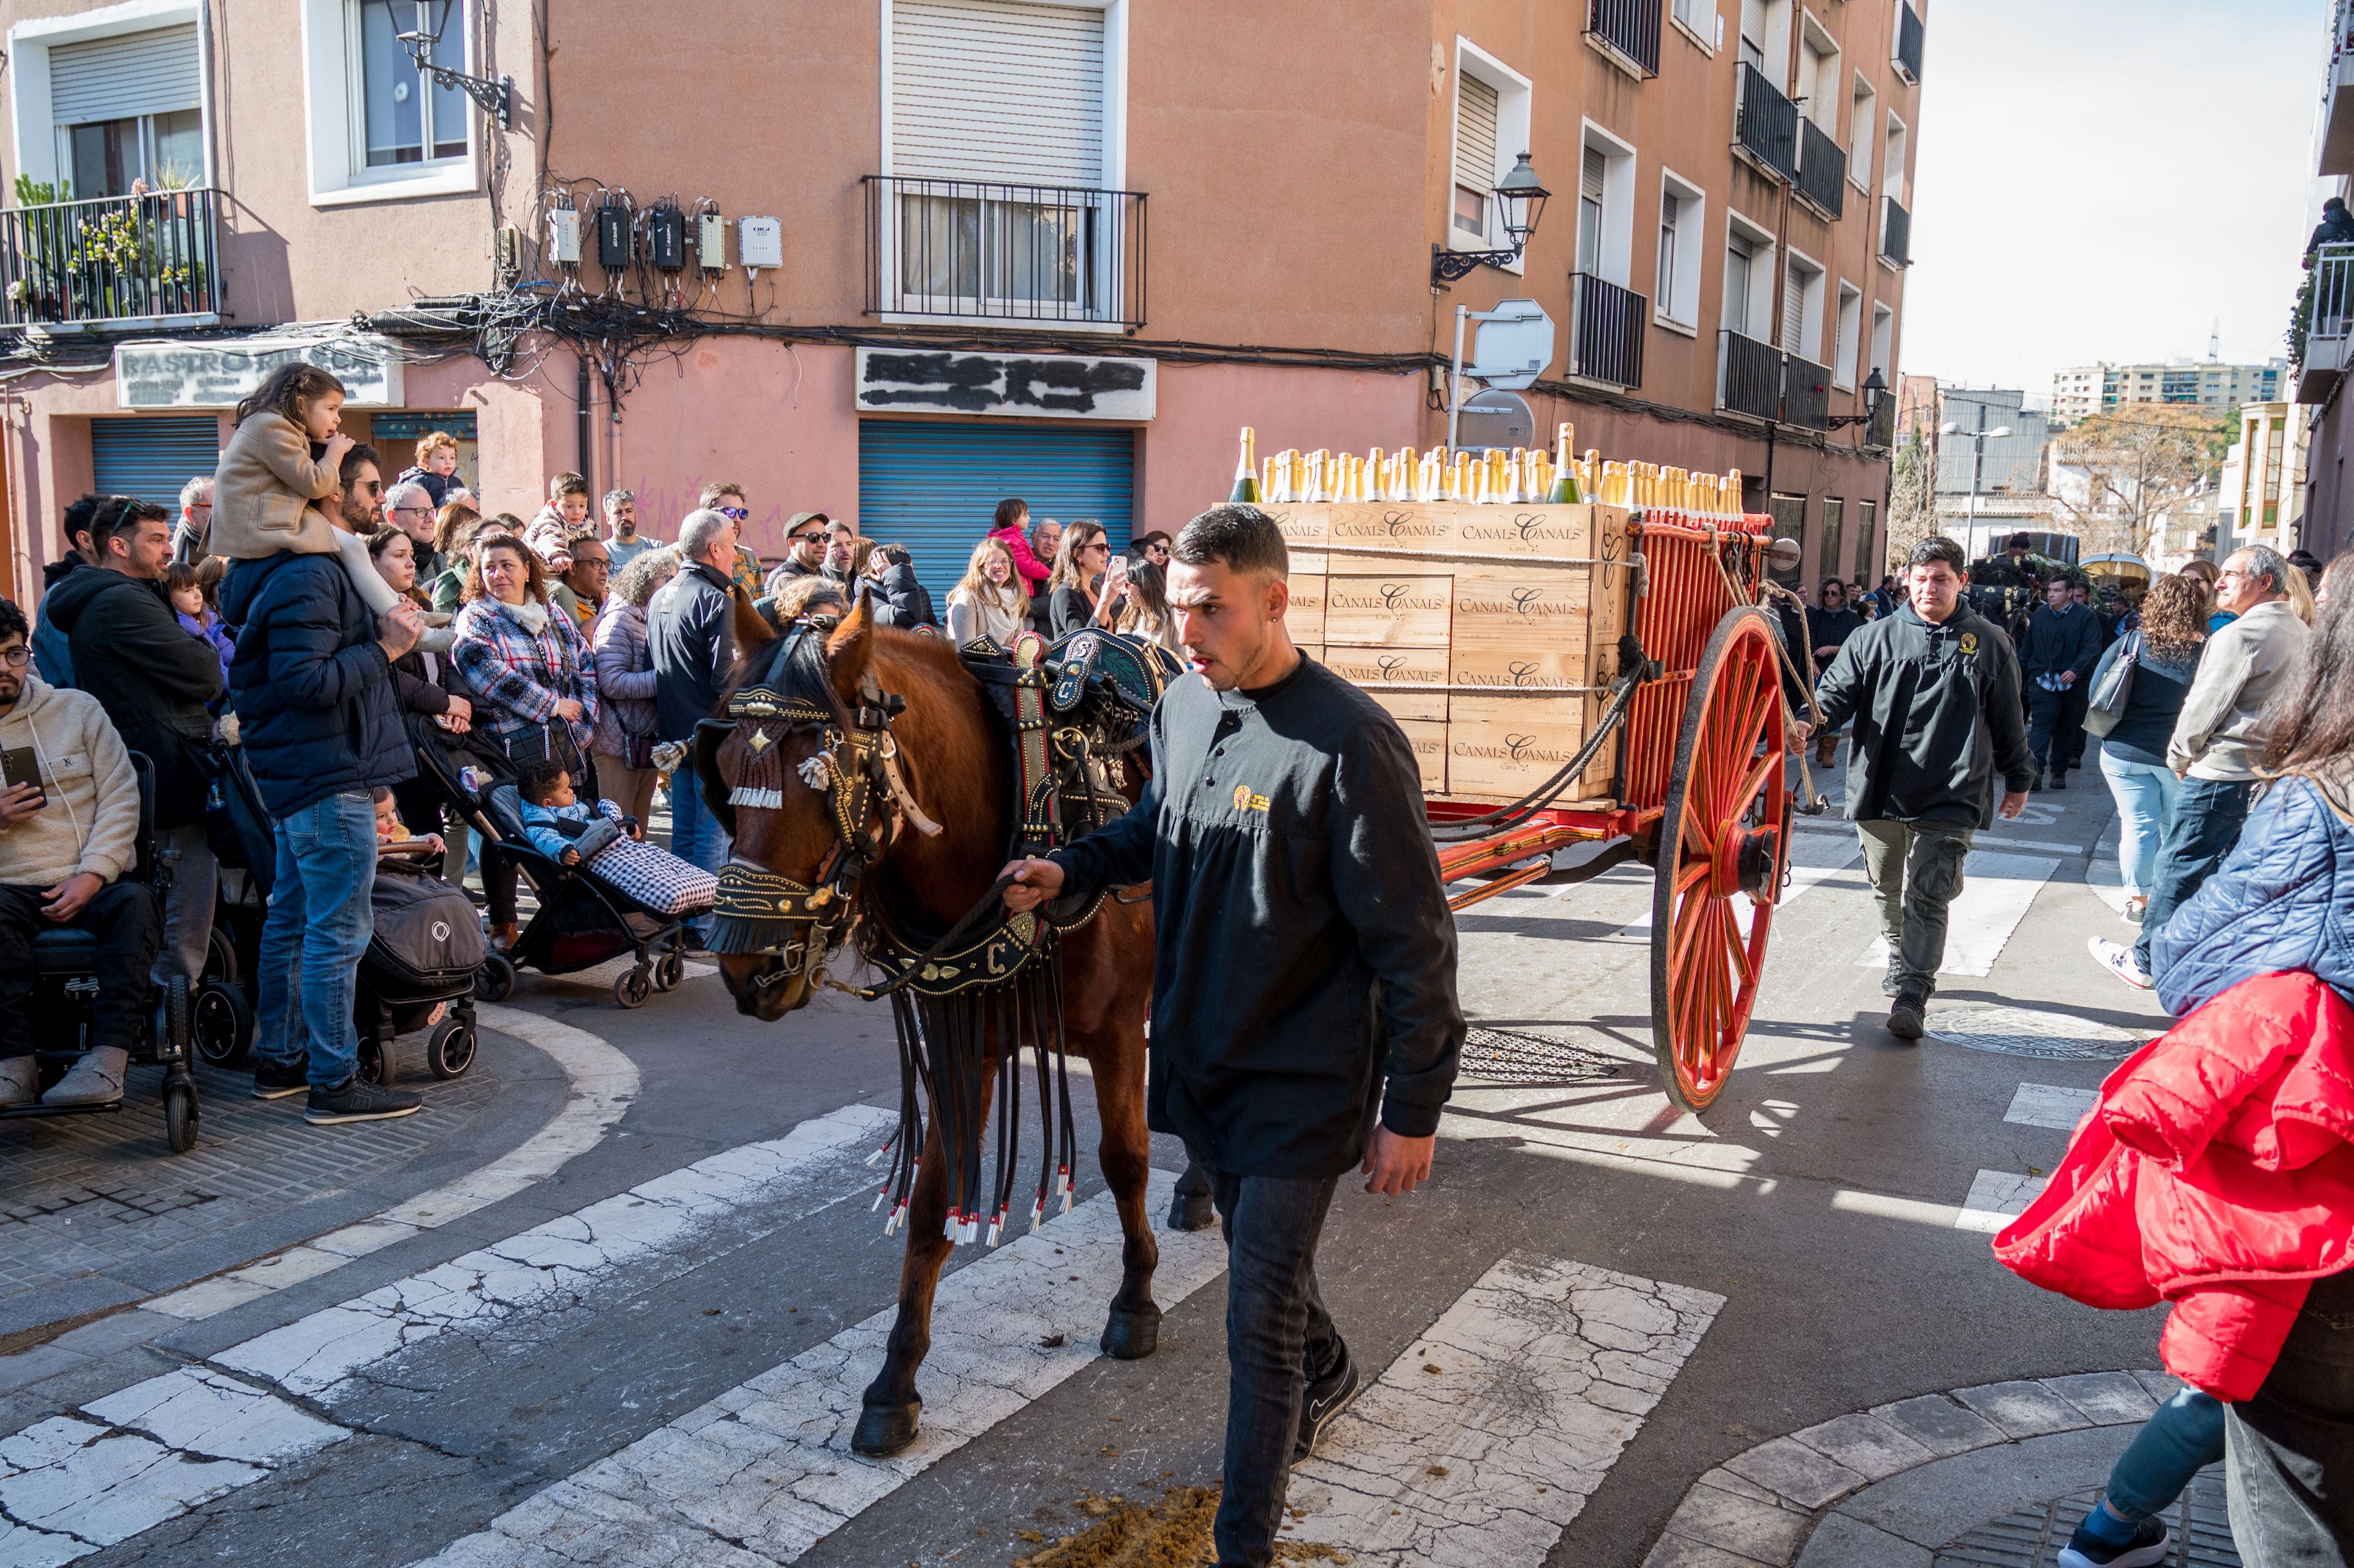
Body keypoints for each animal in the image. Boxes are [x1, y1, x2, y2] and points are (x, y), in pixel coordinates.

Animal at [706, 593, 1167, 1450]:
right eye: (720, 771)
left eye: (817, 777)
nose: (747, 969)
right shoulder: (963, 1041)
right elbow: (932, 1201)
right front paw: (896, 1381)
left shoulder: (1120, 1033)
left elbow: (1125, 1161)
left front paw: (1136, 1300)